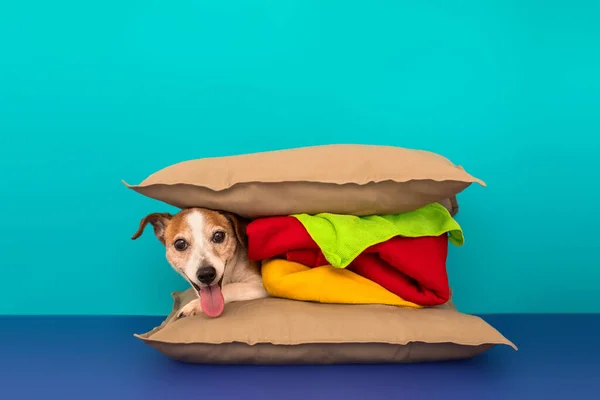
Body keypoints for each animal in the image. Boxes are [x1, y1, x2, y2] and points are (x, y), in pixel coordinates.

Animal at [131, 209, 268, 318]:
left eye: (219, 236)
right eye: (180, 244)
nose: (206, 274)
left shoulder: (259, 285)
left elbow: (233, 287)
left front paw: (195, 305)